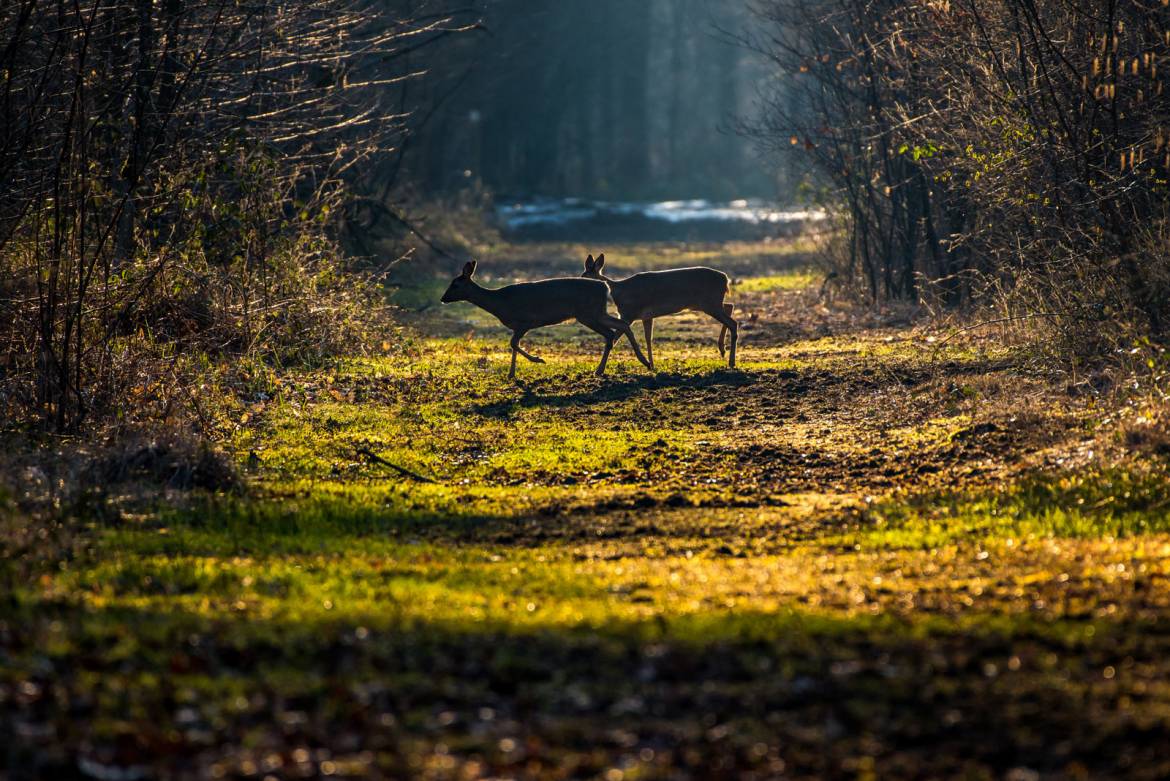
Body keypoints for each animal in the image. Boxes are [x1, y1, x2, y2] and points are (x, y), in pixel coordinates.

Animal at [439, 260, 655, 378]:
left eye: (455, 284)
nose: (442, 298)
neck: (500, 303)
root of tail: (605, 287)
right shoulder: (517, 326)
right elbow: (513, 345)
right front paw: (511, 374)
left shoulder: (525, 321)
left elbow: (513, 343)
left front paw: (538, 360)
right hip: (595, 312)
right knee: (620, 325)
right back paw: (638, 363)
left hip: (588, 313)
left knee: (612, 331)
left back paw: (630, 364)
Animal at [580, 253, 734, 369]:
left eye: (584, 276)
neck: (618, 291)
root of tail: (726, 278)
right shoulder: (646, 316)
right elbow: (648, 338)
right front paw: (652, 365)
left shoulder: (628, 314)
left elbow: (614, 339)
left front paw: (599, 370)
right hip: (707, 303)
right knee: (729, 306)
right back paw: (722, 349)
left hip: (709, 303)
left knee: (733, 322)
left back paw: (730, 361)